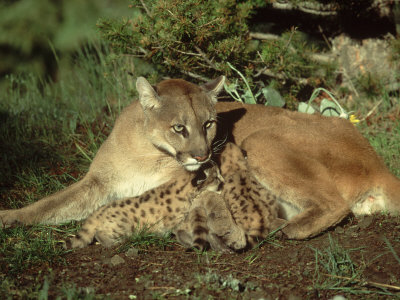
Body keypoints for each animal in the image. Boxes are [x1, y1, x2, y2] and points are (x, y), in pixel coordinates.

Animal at [0, 75, 400, 239]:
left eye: (208, 123)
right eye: (180, 127)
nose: (203, 154)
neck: (144, 150)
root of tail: (376, 158)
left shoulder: (184, 183)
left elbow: (137, 202)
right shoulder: (96, 183)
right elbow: (51, 204)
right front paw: (10, 217)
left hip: (261, 139)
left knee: (334, 205)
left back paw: (278, 228)